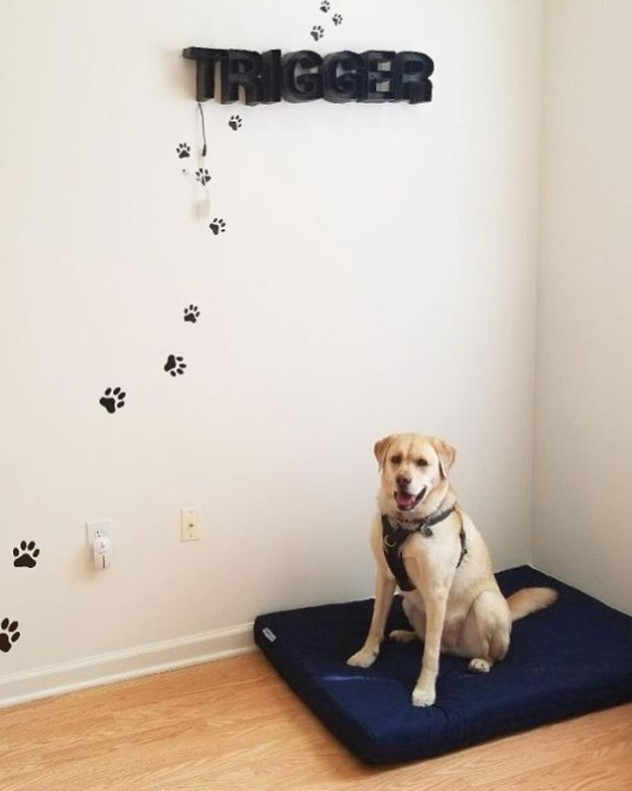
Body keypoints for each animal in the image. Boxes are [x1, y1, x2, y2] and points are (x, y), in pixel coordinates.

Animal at [346, 436, 556, 708]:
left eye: (422, 463)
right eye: (396, 459)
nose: (403, 479)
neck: (407, 525)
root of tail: (455, 649)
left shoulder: (436, 591)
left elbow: (430, 655)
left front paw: (425, 690)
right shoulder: (384, 577)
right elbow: (375, 623)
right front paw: (366, 655)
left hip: (486, 603)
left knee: (491, 654)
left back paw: (482, 662)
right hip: (408, 603)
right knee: (426, 638)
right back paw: (407, 634)